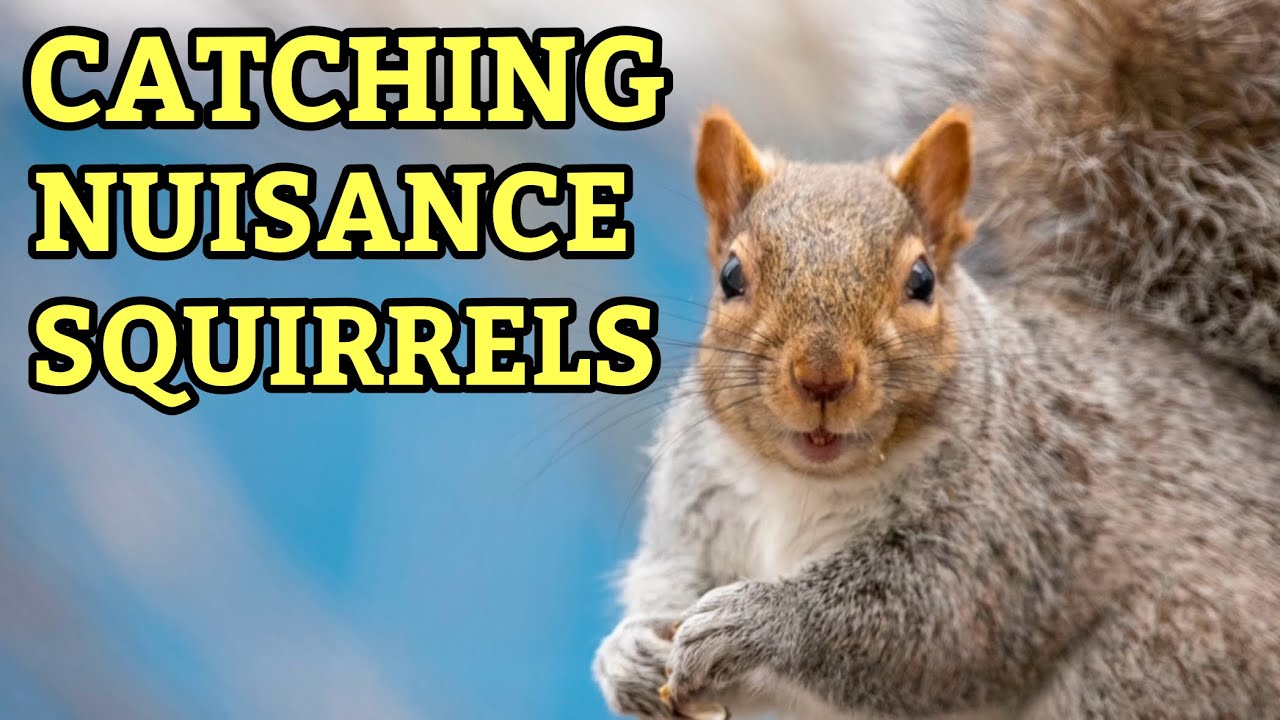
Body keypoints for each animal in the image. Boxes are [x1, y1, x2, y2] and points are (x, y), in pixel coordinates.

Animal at [593, 0, 1280, 718]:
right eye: (731, 276)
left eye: (921, 280)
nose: (822, 377)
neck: (805, 483)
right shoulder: (694, 500)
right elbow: (666, 570)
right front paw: (628, 653)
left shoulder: (1007, 526)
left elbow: (924, 621)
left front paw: (755, 621)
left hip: (1164, 652)